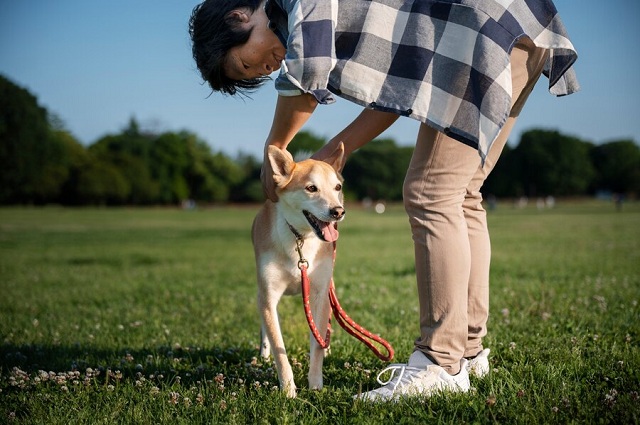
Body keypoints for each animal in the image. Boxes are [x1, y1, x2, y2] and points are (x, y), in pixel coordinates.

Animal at [251, 143, 344, 398]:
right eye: (311, 188)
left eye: (338, 187)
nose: (338, 211)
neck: (300, 239)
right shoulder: (268, 296)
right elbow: (278, 347)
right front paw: (288, 392)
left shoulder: (320, 293)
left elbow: (316, 346)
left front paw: (316, 385)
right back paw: (263, 354)